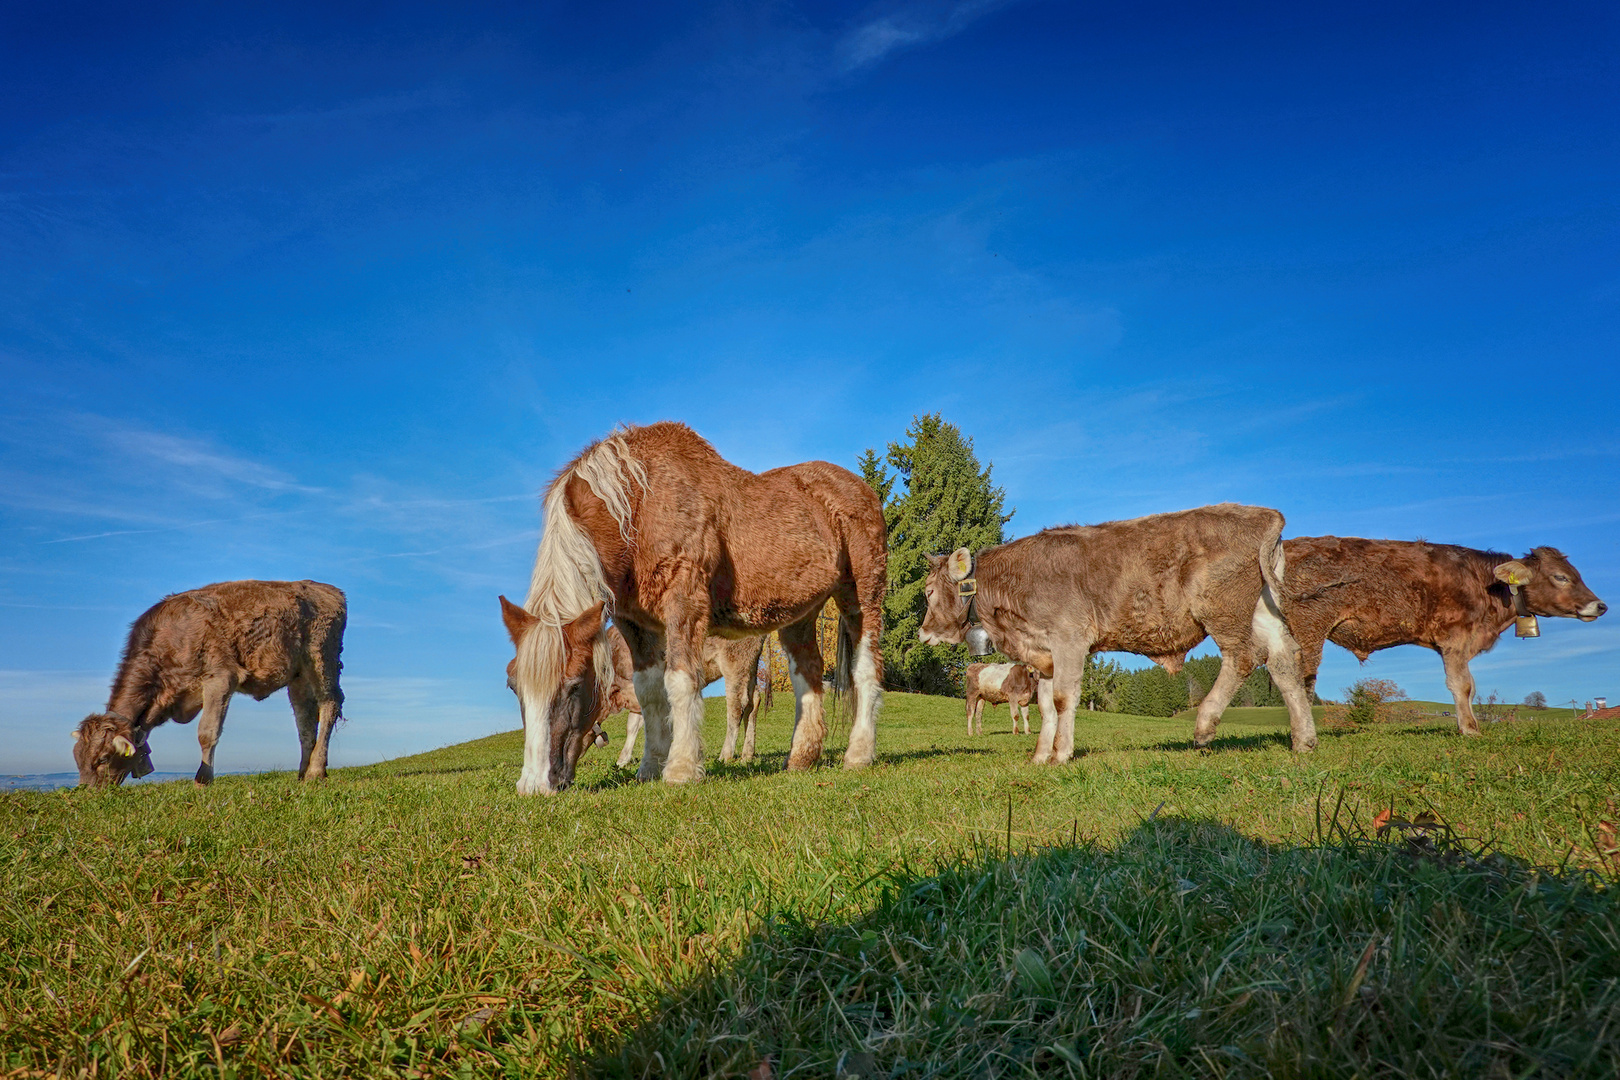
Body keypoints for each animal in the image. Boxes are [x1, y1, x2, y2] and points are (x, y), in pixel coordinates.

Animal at [74, 579, 346, 790]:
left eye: (103, 758)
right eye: (77, 758)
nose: (86, 793)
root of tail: (328, 589)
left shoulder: (221, 678)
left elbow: (207, 732)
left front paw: (202, 780)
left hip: (322, 659)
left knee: (330, 704)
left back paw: (316, 772)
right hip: (297, 676)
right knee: (305, 722)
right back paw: (302, 773)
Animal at [498, 420, 887, 793]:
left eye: (575, 685)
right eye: (514, 686)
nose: (534, 786)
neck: (640, 505)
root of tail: (861, 488)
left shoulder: (684, 604)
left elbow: (680, 682)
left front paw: (682, 768)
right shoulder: (636, 625)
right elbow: (650, 693)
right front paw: (650, 767)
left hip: (862, 596)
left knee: (865, 669)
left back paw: (858, 754)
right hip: (800, 613)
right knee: (807, 673)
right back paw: (801, 758)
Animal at [926, 505, 1315, 761]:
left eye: (928, 592)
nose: (923, 632)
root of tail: (1261, 512)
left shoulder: (1069, 637)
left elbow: (1063, 699)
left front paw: (1061, 754)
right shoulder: (1044, 651)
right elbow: (1046, 706)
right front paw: (1040, 756)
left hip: (1222, 608)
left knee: (1244, 656)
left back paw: (1204, 726)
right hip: (1262, 609)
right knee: (1283, 660)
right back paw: (1304, 740)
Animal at [1244, 537, 1600, 738]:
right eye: (1561, 577)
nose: (1601, 605)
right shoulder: (1456, 637)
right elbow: (1463, 685)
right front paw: (1470, 730)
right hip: (1307, 626)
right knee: (1293, 678)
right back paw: (1304, 738)